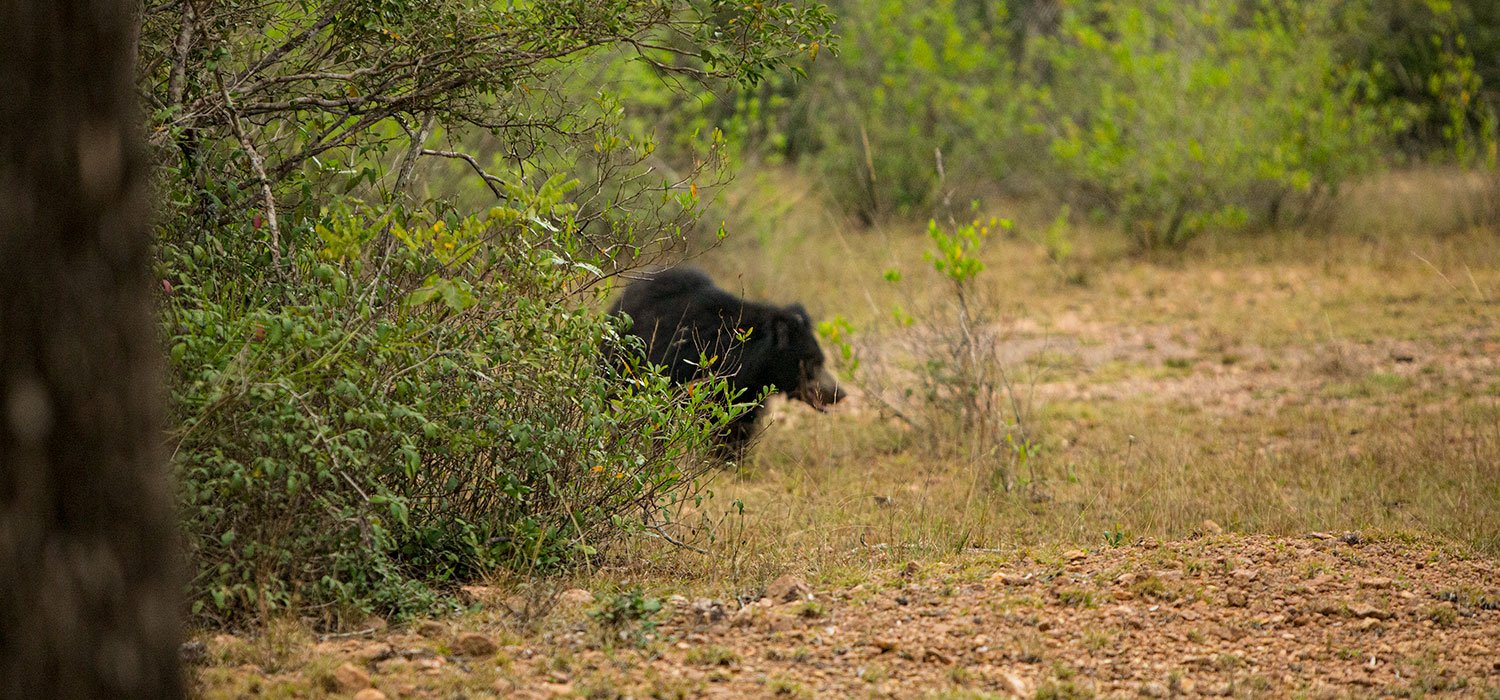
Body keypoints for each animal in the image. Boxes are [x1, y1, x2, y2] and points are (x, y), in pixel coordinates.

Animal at [608, 267, 845, 460]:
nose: (839, 393)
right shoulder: (680, 362)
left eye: (821, 361)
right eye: (812, 364)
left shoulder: (746, 389)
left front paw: (728, 459)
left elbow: (736, 422)